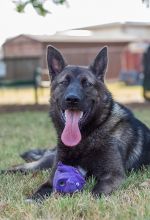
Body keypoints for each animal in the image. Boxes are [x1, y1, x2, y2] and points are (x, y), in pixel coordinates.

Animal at [2, 45, 150, 200]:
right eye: (64, 82)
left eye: (87, 84)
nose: (72, 99)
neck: (85, 137)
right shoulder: (53, 176)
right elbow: (42, 189)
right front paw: (33, 199)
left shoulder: (113, 175)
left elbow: (96, 193)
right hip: (45, 162)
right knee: (21, 167)